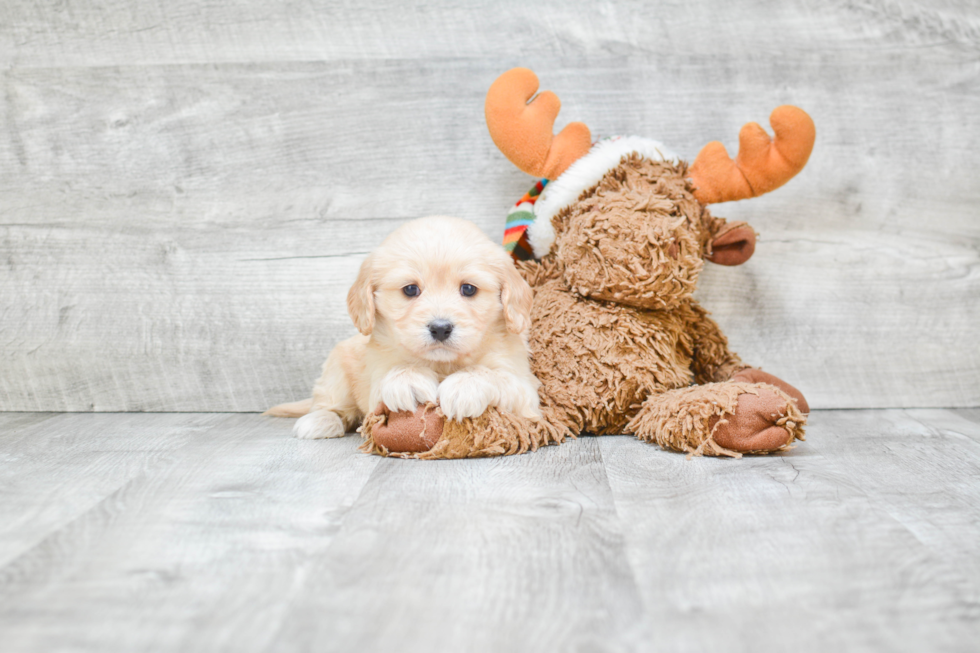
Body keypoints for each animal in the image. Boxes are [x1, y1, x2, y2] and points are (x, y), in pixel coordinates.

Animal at [268, 215, 540, 438]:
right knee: (334, 405)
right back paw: (320, 420)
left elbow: (494, 375)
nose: (440, 328)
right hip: (336, 372)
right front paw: (408, 379)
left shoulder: (525, 391)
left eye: (468, 289)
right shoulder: (377, 378)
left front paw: (465, 386)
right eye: (410, 289)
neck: (443, 364)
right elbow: (397, 372)